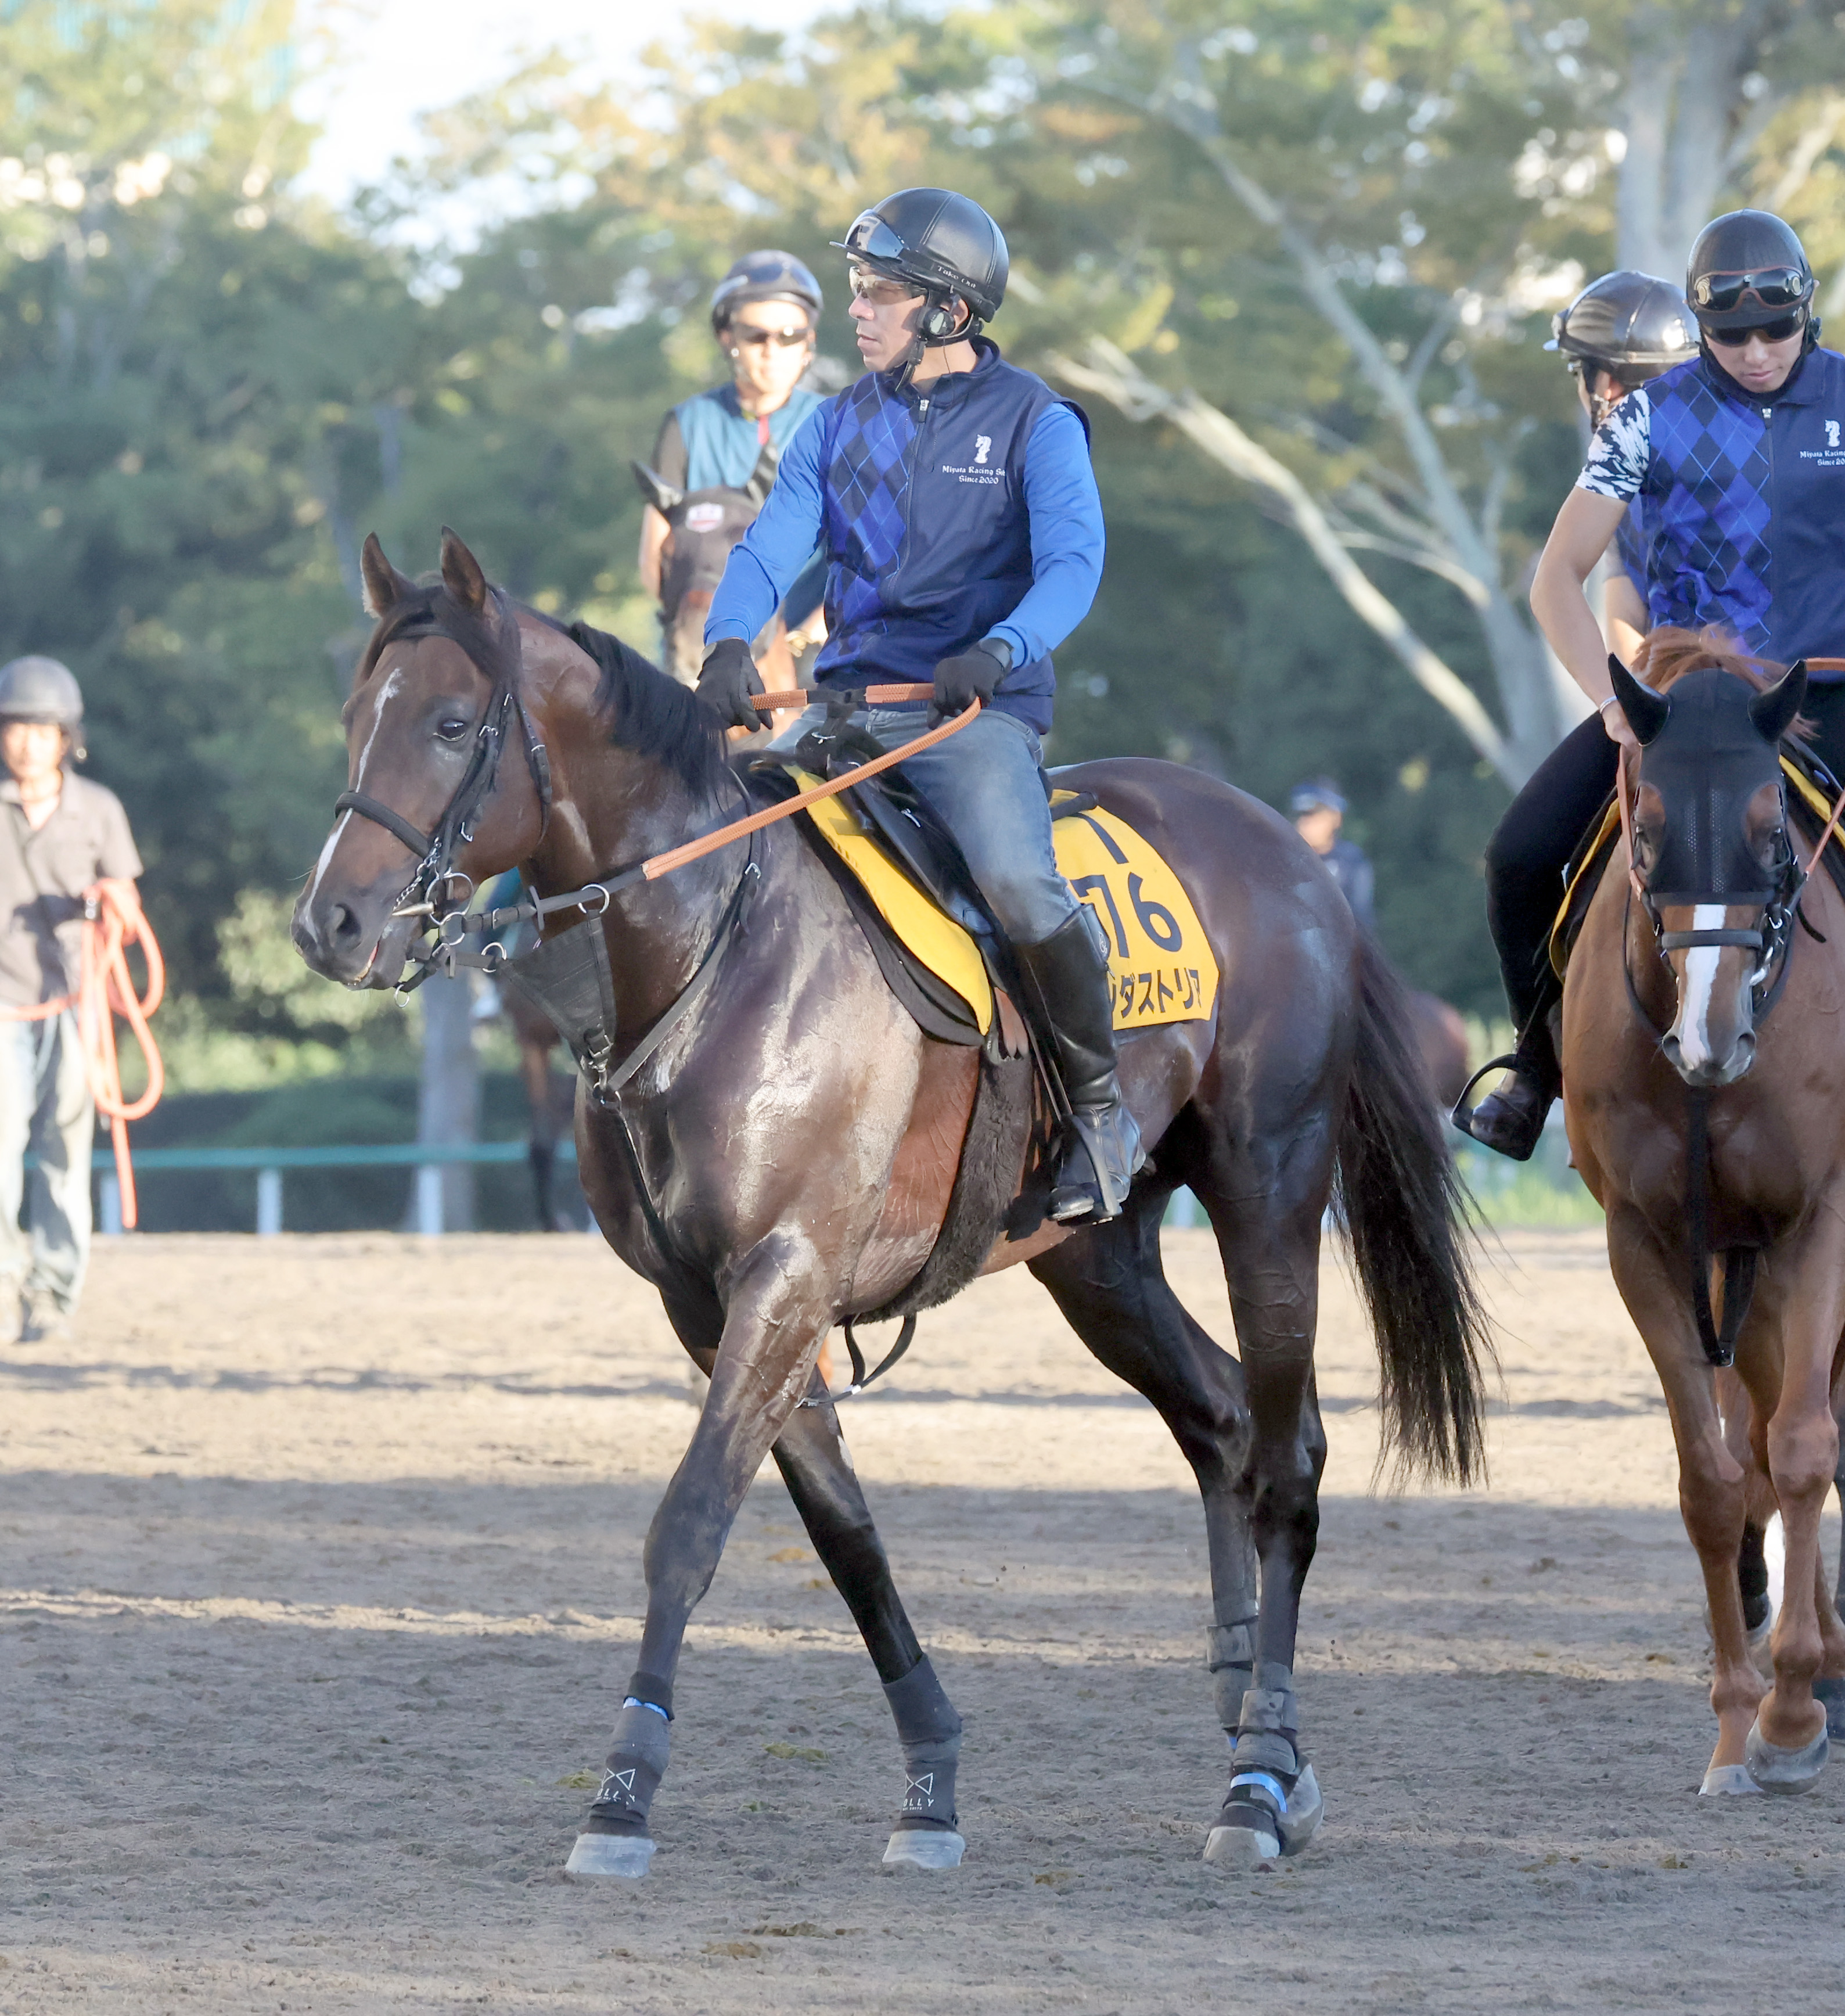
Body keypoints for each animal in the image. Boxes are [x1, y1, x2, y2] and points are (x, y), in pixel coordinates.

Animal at [292, 532, 1500, 1871]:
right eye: (356, 716)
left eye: (452, 723)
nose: (330, 921)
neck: (709, 953)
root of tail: (1288, 857)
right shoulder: (710, 1304)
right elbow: (843, 1535)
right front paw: (931, 1776)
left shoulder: (784, 1276)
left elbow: (690, 1521)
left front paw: (623, 1788)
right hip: (1098, 1258)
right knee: (1222, 1422)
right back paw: (1251, 1720)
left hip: (1269, 1187)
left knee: (1287, 1457)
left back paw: (1257, 1775)